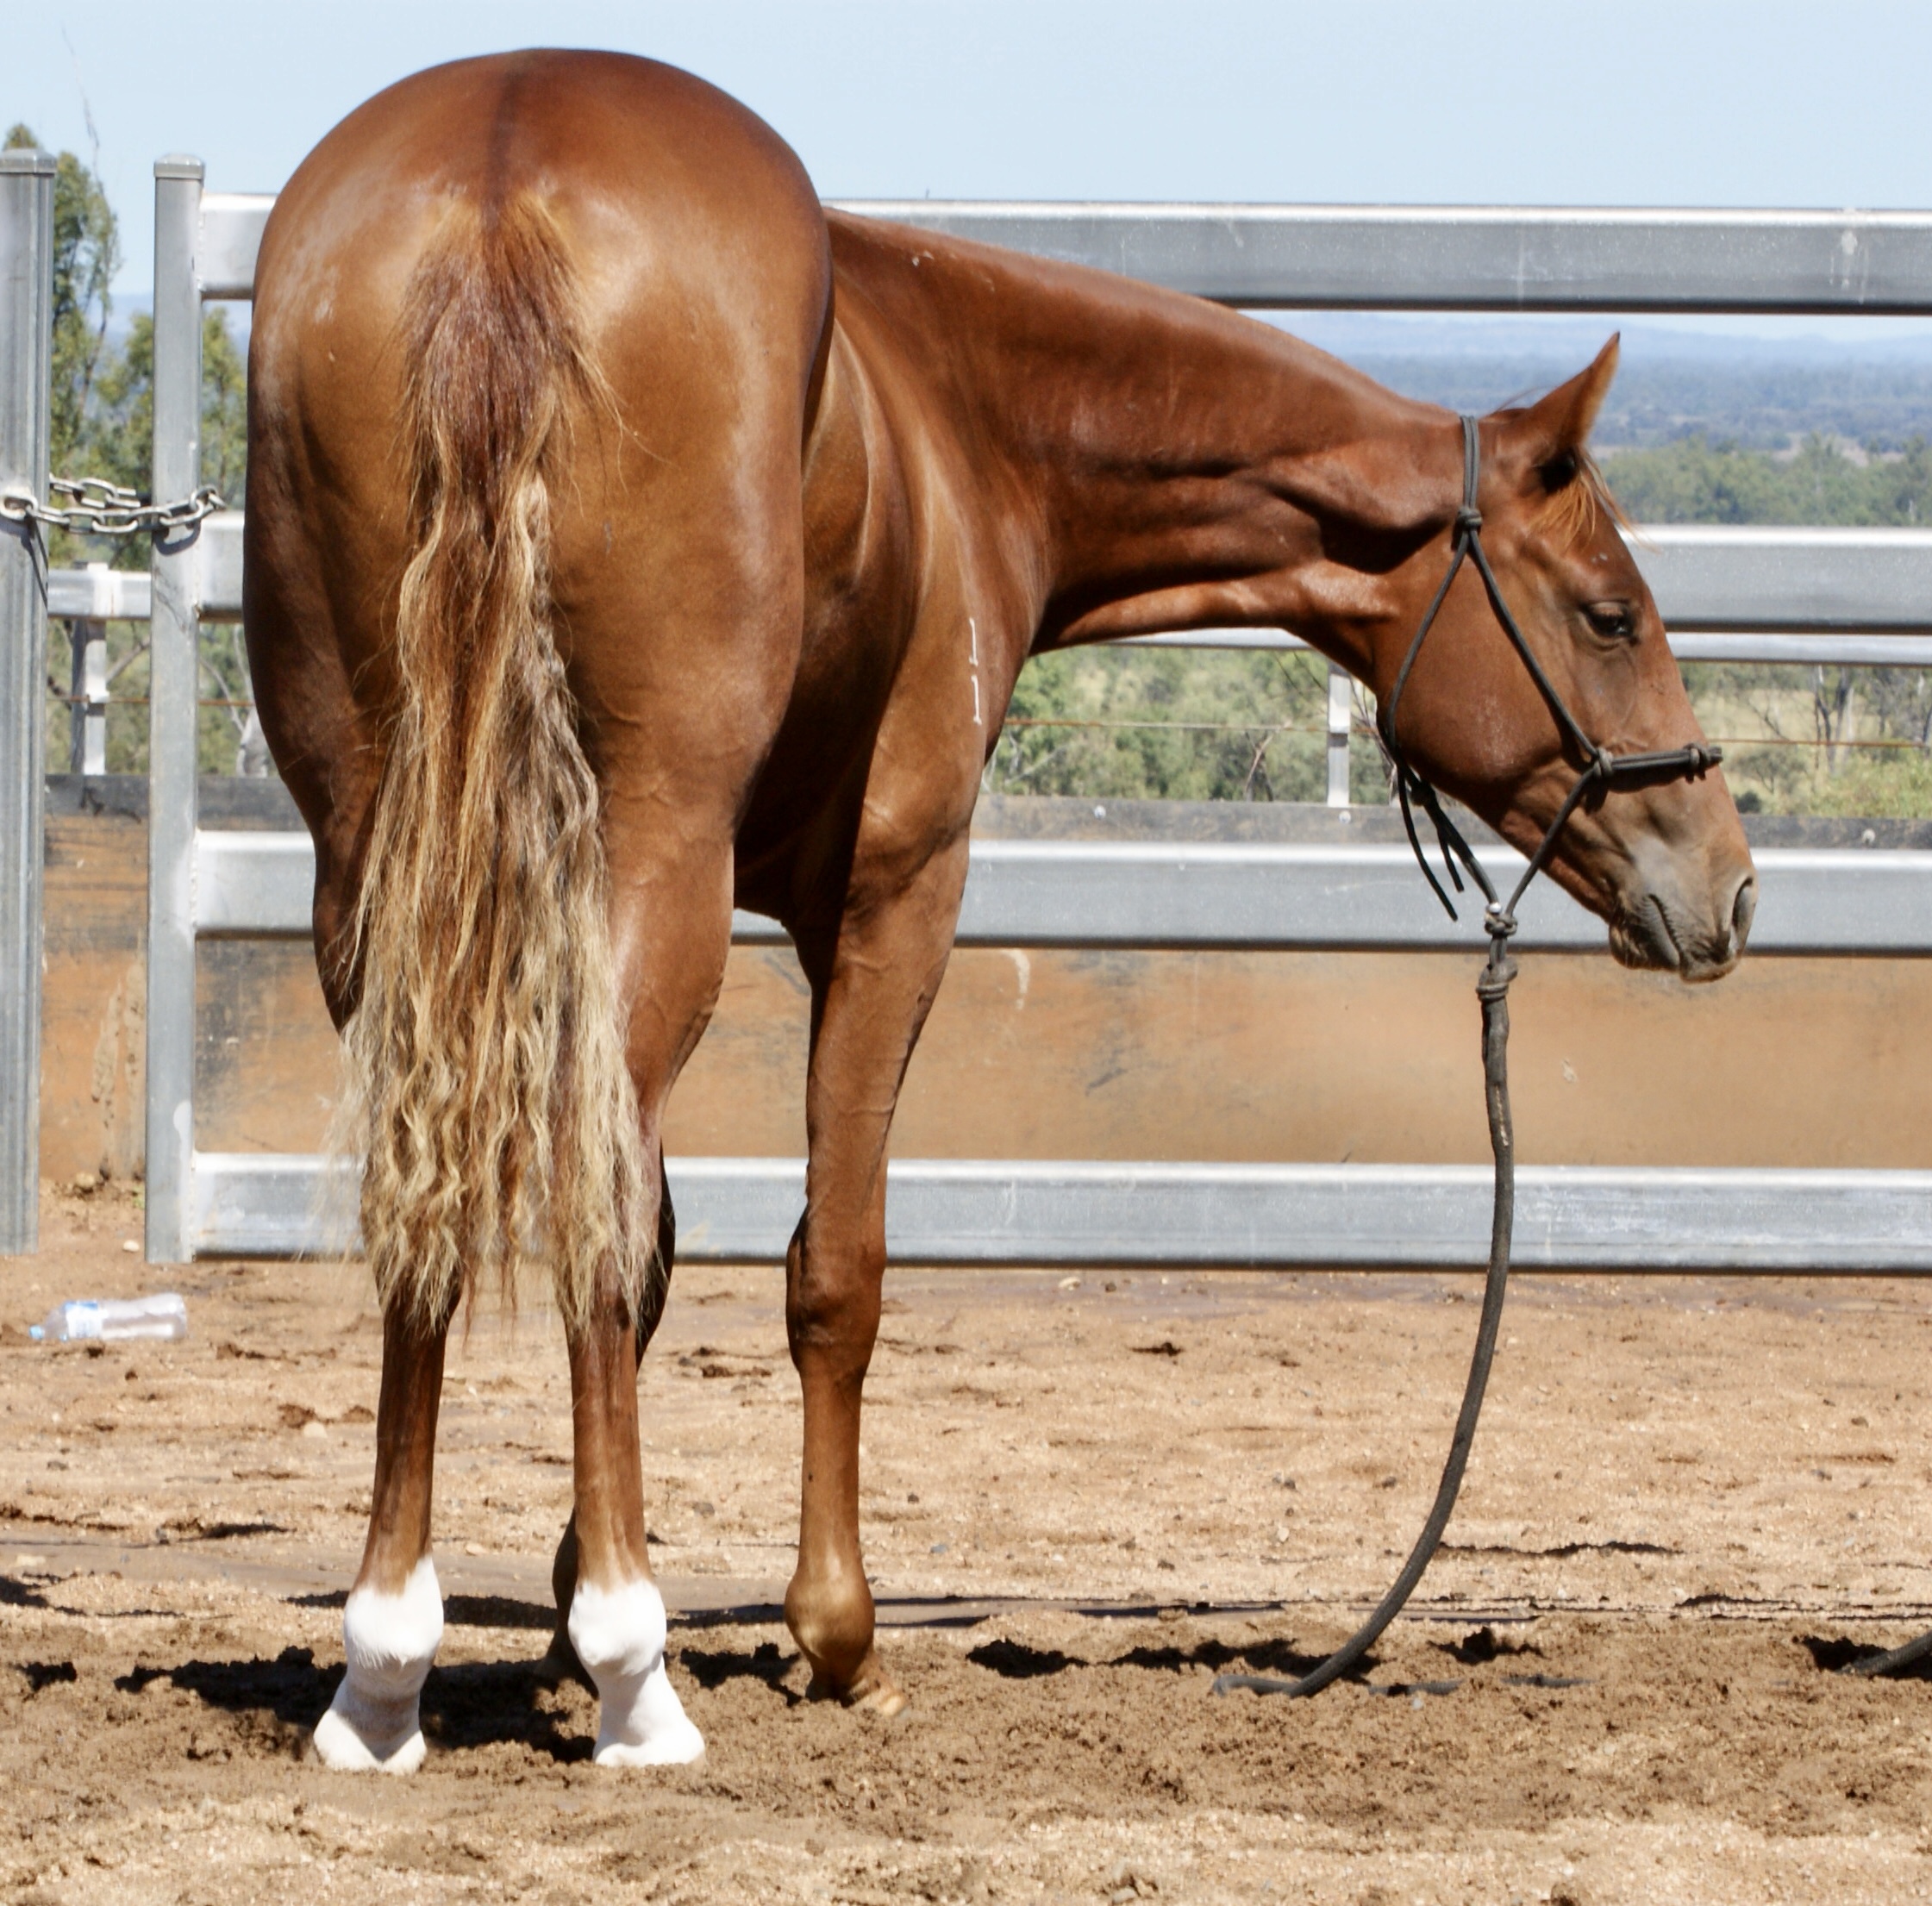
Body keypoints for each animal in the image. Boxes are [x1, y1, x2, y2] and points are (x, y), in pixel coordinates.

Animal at [243, 48, 1756, 1771]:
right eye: (1609, 615)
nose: (1724, 880)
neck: (955, 410)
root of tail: (503, 168)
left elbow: (662, 1255)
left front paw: (562, 1604)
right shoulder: (895, 897)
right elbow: (828, 1268)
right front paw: (824, 1634)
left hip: (378, 867)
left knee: (427, 1197)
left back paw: (383, 1667)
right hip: (649, 861)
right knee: (593, 1205)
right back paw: (633, 1674)